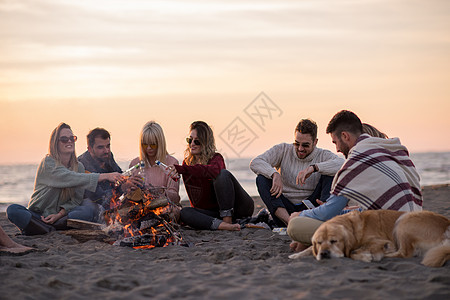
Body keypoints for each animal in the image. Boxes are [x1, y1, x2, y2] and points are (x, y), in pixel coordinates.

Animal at [288, 209, 450, 268]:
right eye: (319, 243)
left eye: (334, 241)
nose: (324, 253)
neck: (352, 227)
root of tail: (446, 226)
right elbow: (309, 248)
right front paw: (296, 255)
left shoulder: (379, 240)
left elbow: (353, 252)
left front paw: (366, 256)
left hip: (404, 220)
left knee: (405, 253)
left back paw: (384, 253)